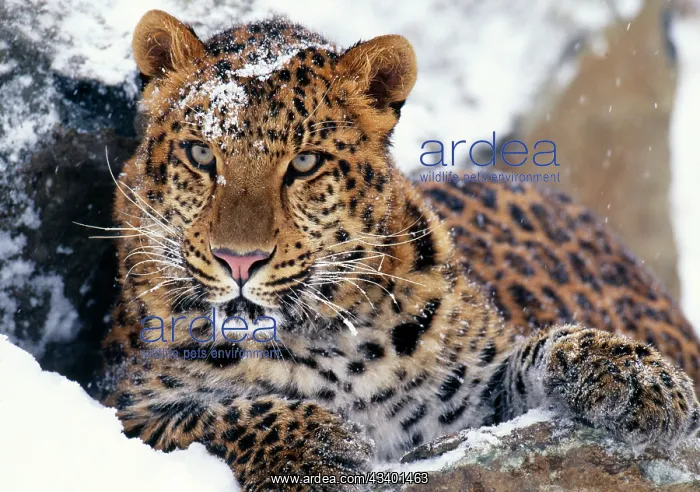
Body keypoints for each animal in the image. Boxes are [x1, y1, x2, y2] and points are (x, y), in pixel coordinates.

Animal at [102, 9, 700, 491]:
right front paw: (320, 451)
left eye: (305, 162)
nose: (240, 261)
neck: (327, 346)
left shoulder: (473, 410)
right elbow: (214, 417)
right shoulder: (122, 403)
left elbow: (534, 352)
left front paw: (635, 375)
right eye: (201, 154)